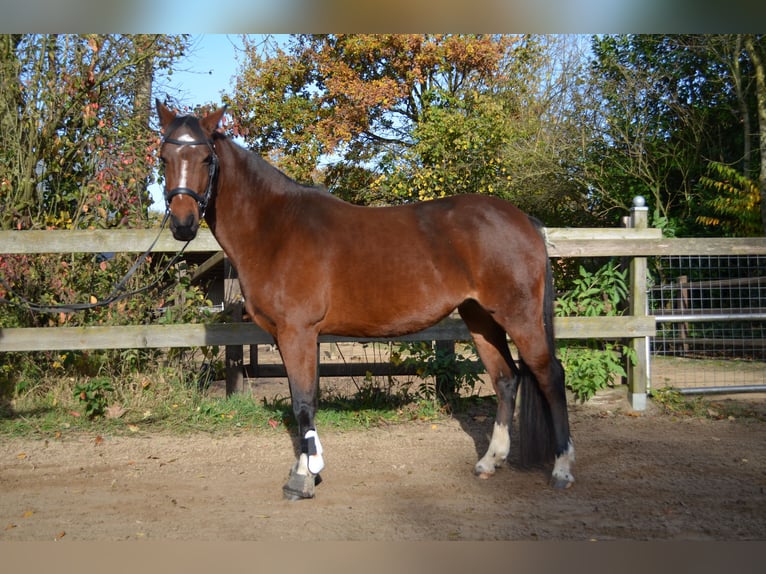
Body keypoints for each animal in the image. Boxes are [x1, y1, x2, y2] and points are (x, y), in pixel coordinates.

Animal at [156, 101, 575, 500]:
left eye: (207, 158)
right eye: (163, 157)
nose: (183, 224)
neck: (275, 228)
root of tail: (523, 220)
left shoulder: (298, 332)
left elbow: (303, 403)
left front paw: (302, 479)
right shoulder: (291, 336)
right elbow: (302, 401)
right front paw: (308, 468)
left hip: (518, 316)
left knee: (550, 375)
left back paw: (562, 468)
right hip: (480, 318)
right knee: (506, 379)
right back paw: (490, 461)